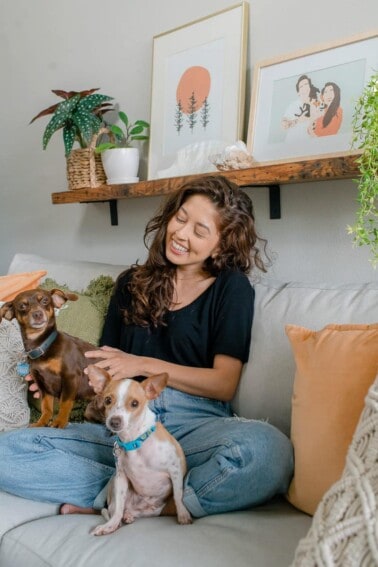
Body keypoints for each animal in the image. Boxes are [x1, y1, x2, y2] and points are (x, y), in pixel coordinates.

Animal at [0, 286, 102, 428]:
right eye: (22, 306)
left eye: (45, 301)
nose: (37, 314)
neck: (42, 346)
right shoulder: (43, 385)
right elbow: (46, 407)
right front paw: (41, 423)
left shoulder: (70, 377)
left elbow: (65, 403)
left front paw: (59, 422)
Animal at [86, 364, 190, 536]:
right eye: (108, 400)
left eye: (135, 403)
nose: (114, 422)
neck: (134, 441)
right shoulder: (121, 478)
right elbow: (118, 509)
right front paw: (110, 526)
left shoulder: (175, 470)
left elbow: (178, 494)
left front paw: (183, 515)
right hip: (115, 485)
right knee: (117, 510)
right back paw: (120, 520)